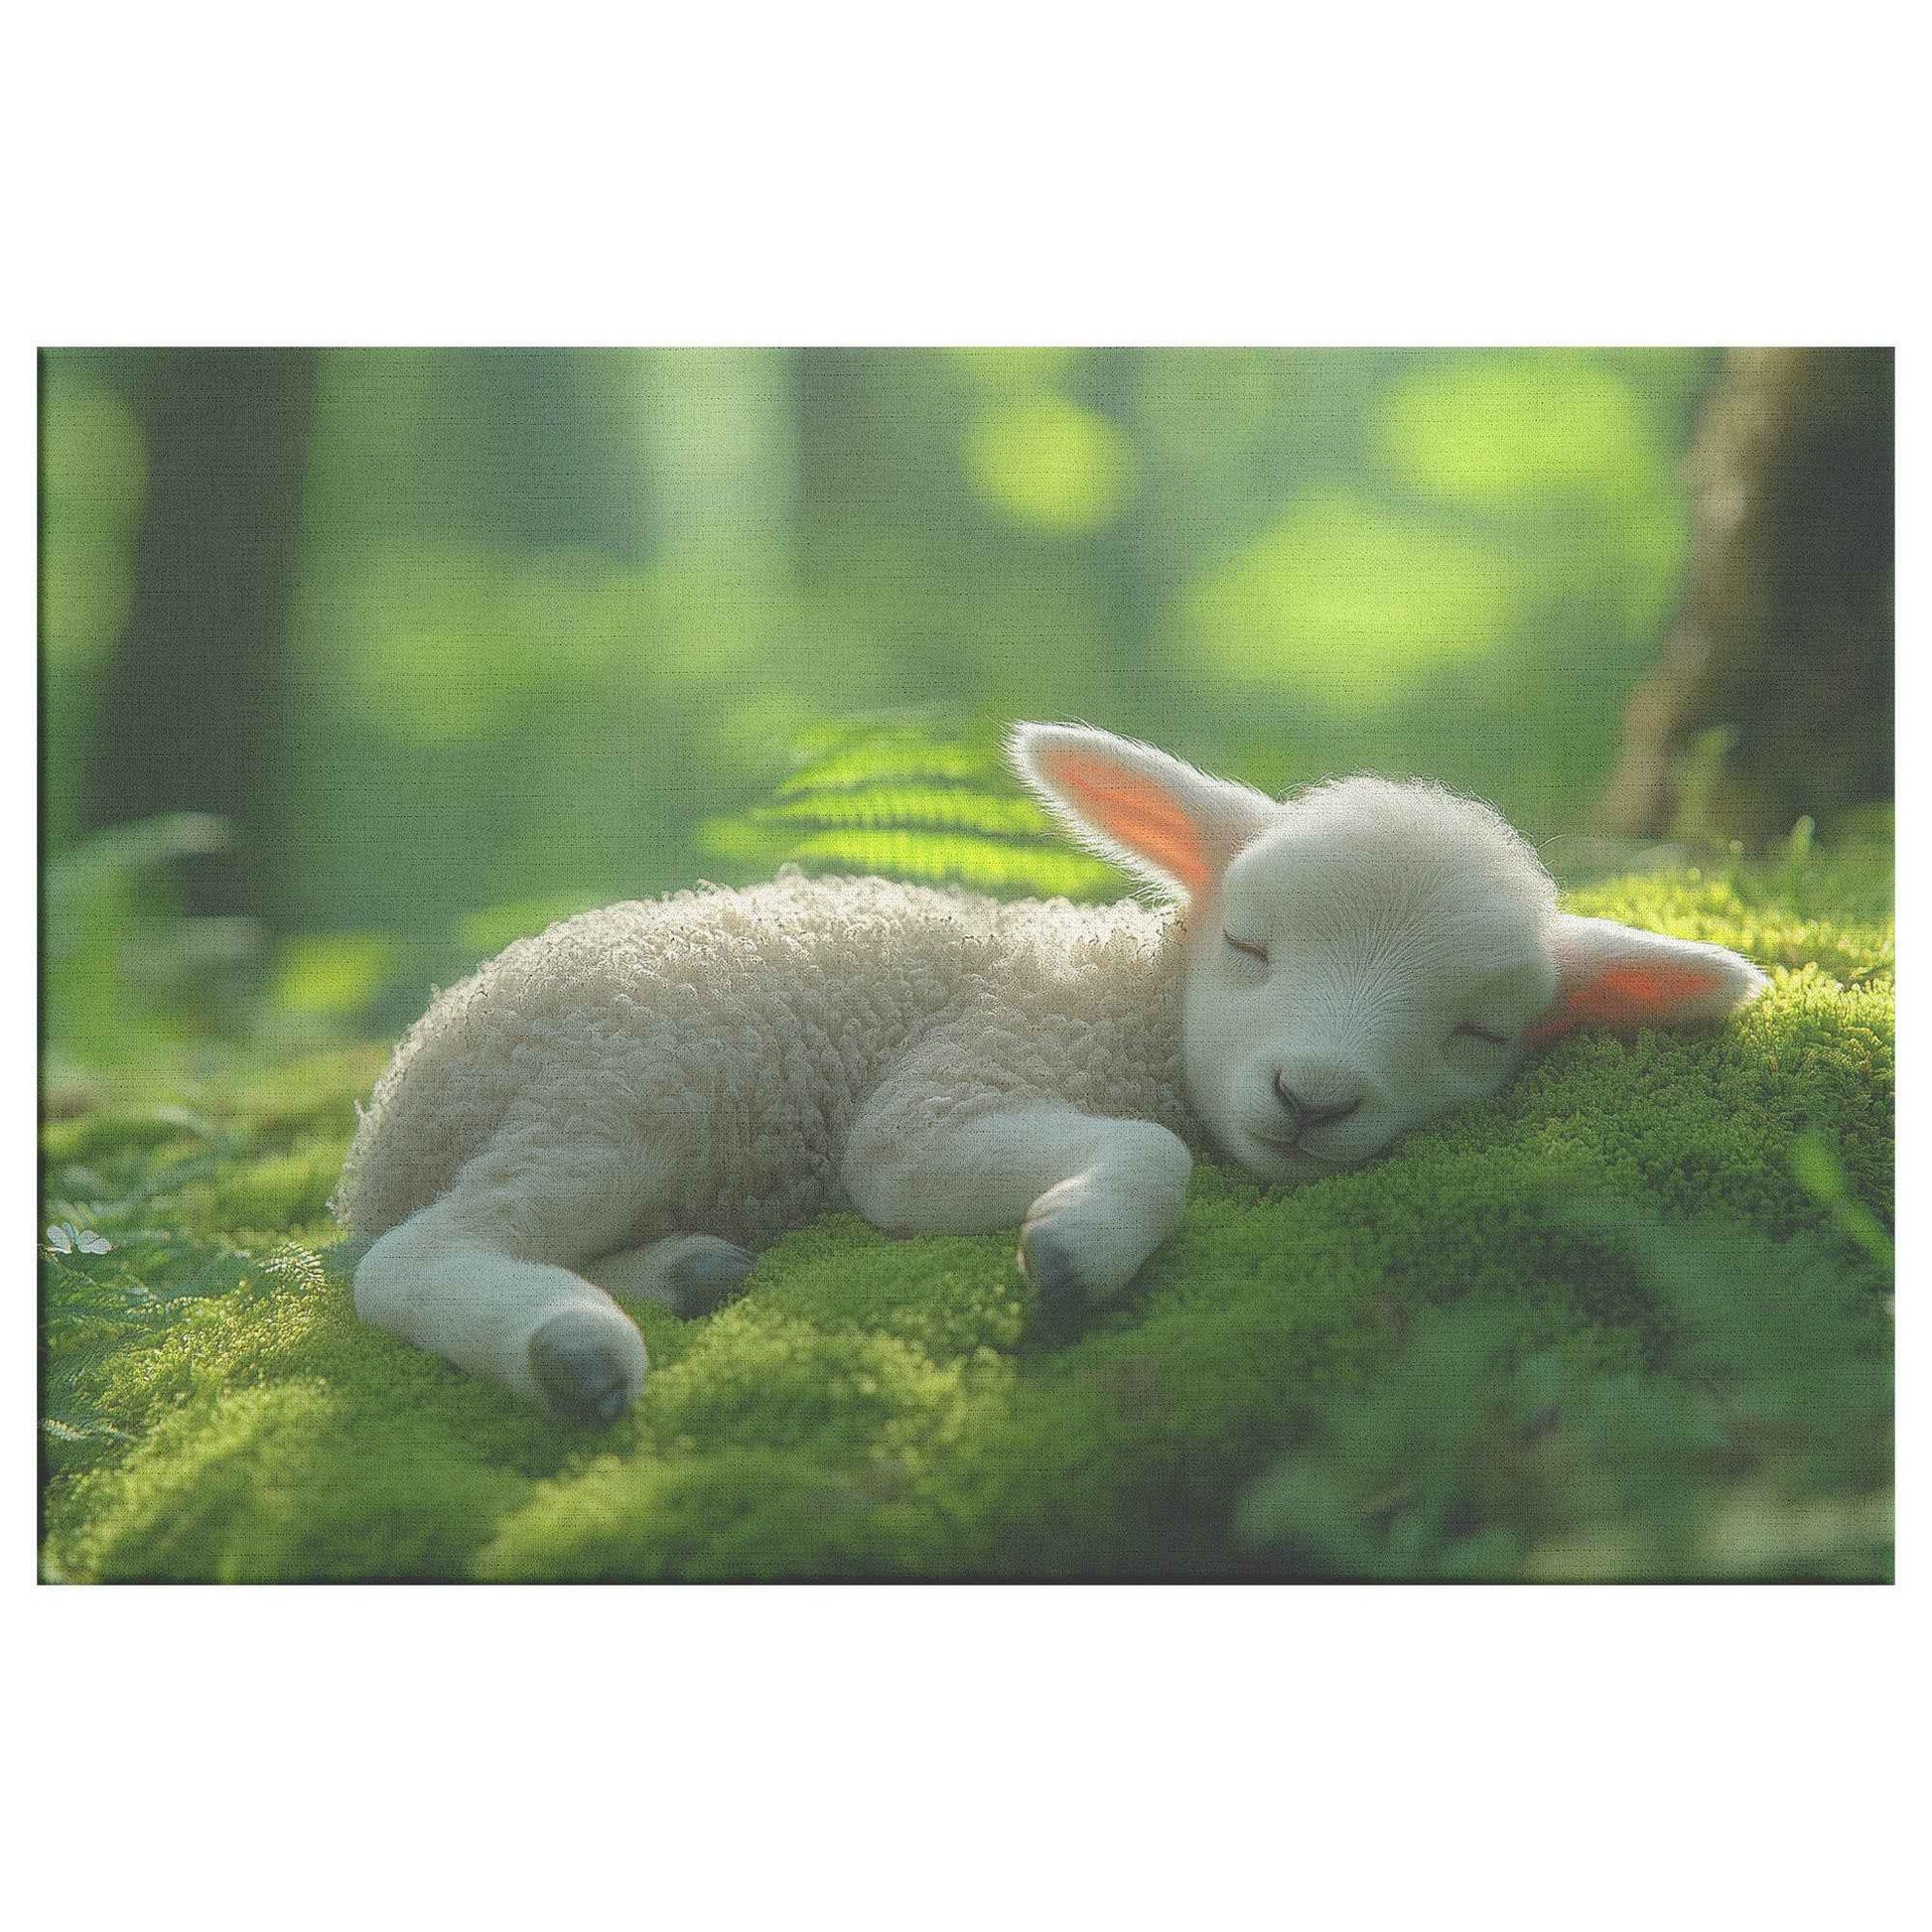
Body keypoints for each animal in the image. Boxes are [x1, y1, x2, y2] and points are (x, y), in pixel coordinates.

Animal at [337, 723, 1769, 1424]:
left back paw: (682, 1269)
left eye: (1479, 1033)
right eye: (1250, 943)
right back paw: (570, 1346)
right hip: (604, 1088)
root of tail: (385, 1119)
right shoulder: (947, 1091)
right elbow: (1142, 1150)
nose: (1310, 1096)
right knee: (414, 1259)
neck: (1126, 993)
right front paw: (1080, 1246)